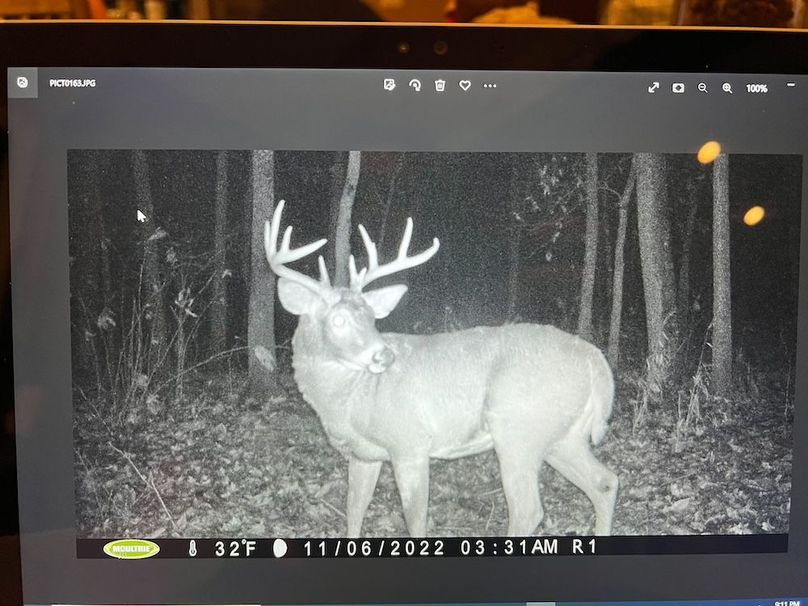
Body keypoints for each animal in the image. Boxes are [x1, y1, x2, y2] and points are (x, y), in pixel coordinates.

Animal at [264, 200, 618, 537]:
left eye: (372, 318)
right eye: (338, 320)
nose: (383, 356)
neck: (353, 400)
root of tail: (596, 362)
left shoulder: (410, 442)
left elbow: (415, 520)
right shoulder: (364, 453)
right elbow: (354, 512)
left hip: (519, 428)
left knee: (528, 510)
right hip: (562, 435)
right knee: (605, 482)